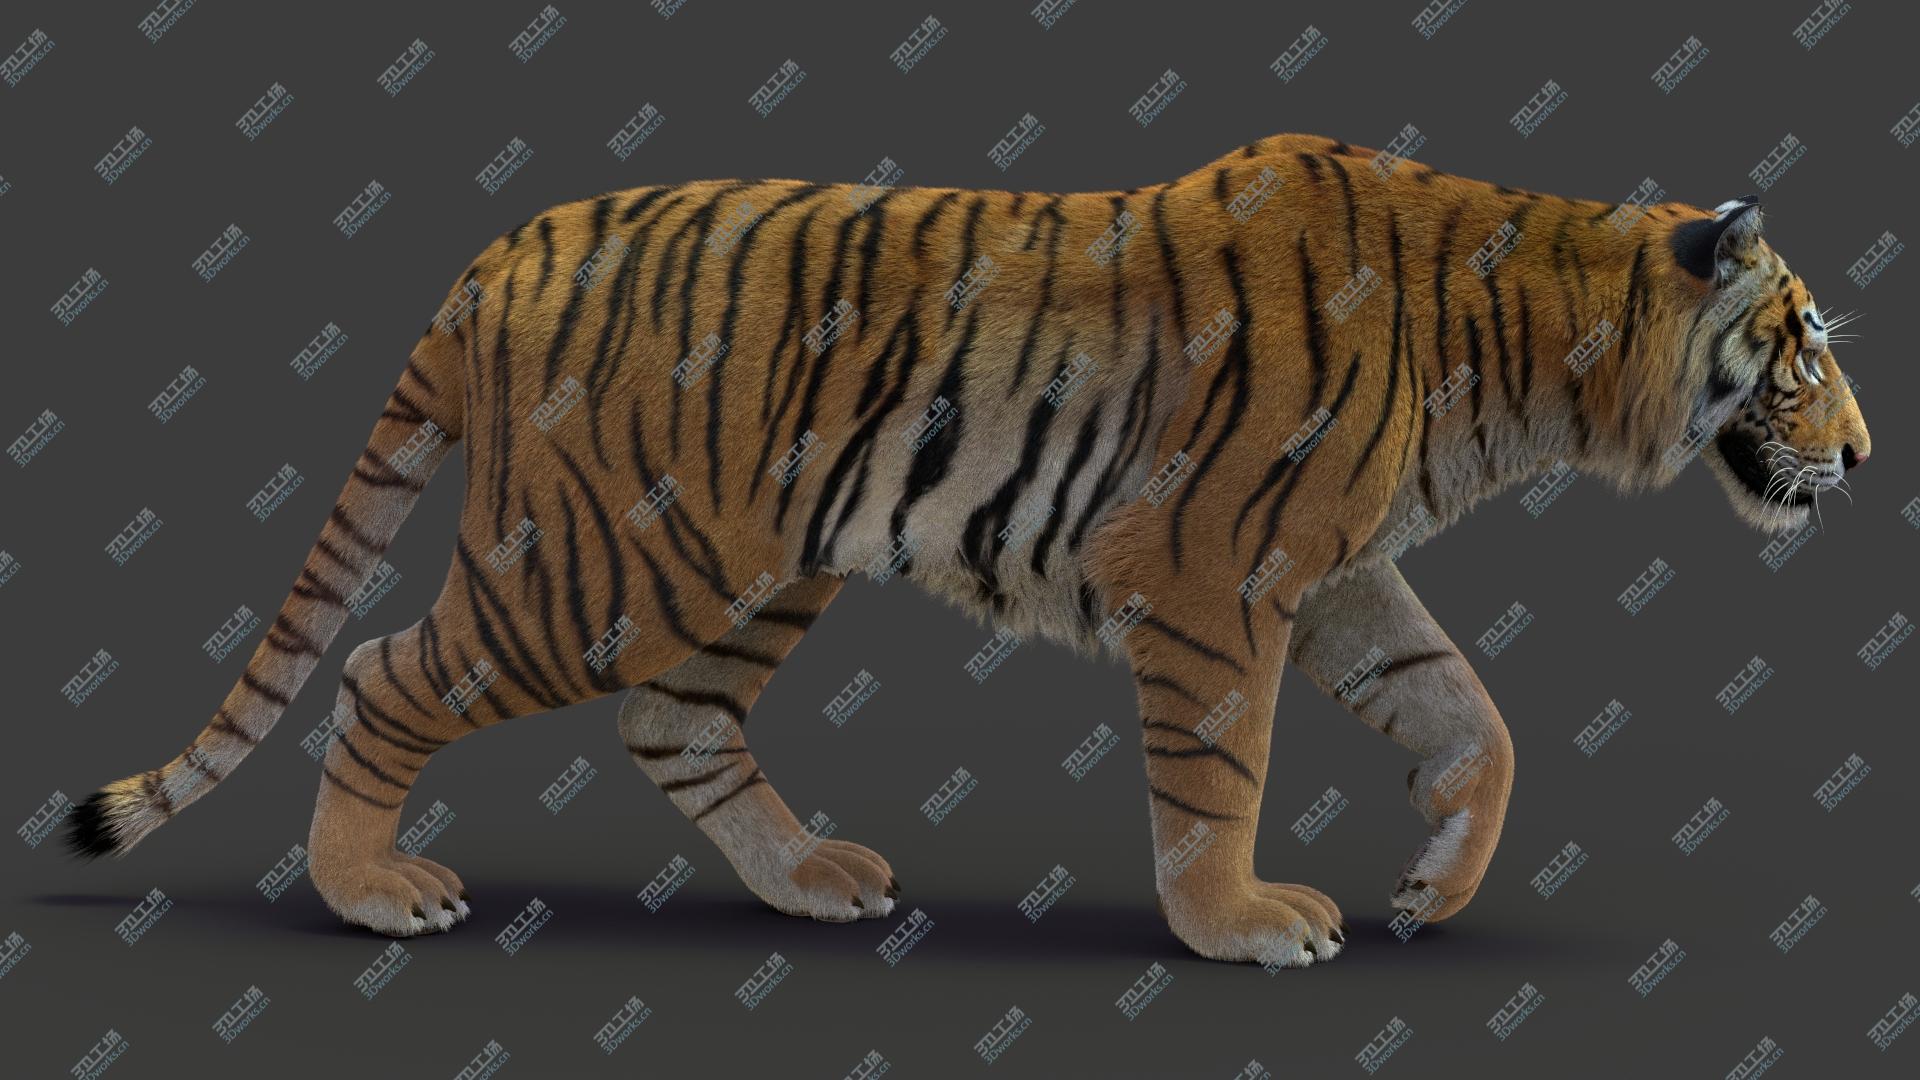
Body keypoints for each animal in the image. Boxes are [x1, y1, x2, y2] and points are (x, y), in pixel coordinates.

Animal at [63, 131, 1871, 967]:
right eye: (1798, 349)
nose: (1861, 455)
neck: (1528, 354)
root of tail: (498, 249)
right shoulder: (1210, 575)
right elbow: (1220, 771)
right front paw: (1239, 921)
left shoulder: (1340, 571)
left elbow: (1471, 720)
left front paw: (1437, 882)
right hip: (588, 567)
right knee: (383, 672)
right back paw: (374, 893)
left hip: (746, 567)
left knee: (672, 723)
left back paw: (813, 881)